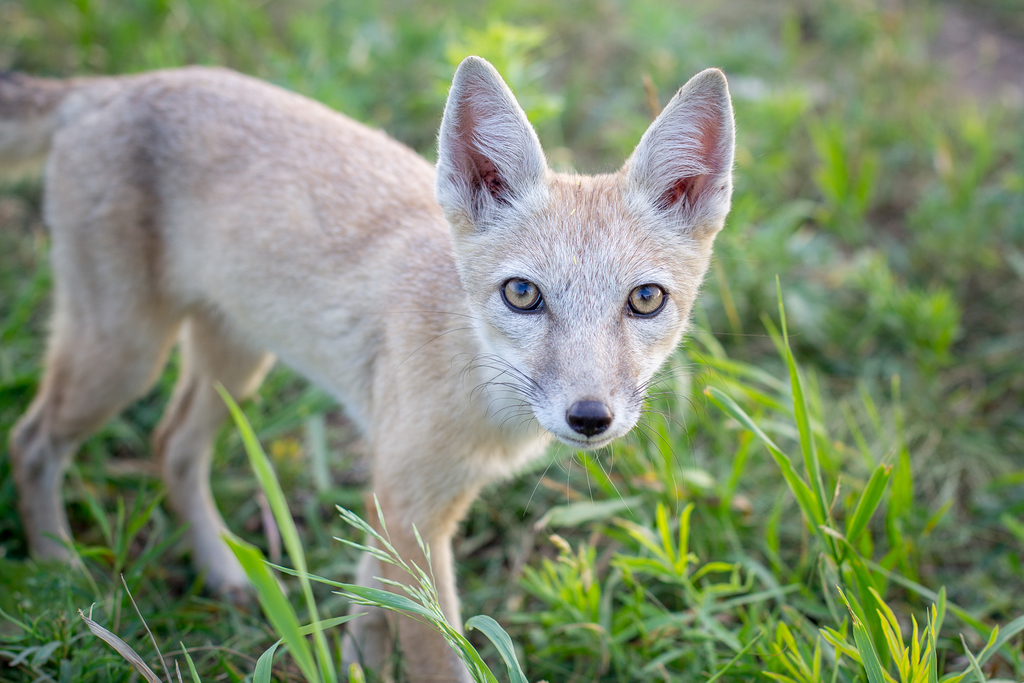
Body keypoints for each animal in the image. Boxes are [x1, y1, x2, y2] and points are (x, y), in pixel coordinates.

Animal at [2, 56, 737, 679]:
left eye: (645, 300)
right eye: (523, 294)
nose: (589, 417)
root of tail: (113, 84)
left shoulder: (403, 501)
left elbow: (368, 607)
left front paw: (352, 662)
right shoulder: (412, 507)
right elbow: (436, 652)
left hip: (234, 361)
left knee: (171, 445)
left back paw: (224, 572)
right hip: (124, 356)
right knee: (32, 441)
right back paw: (57, 580)